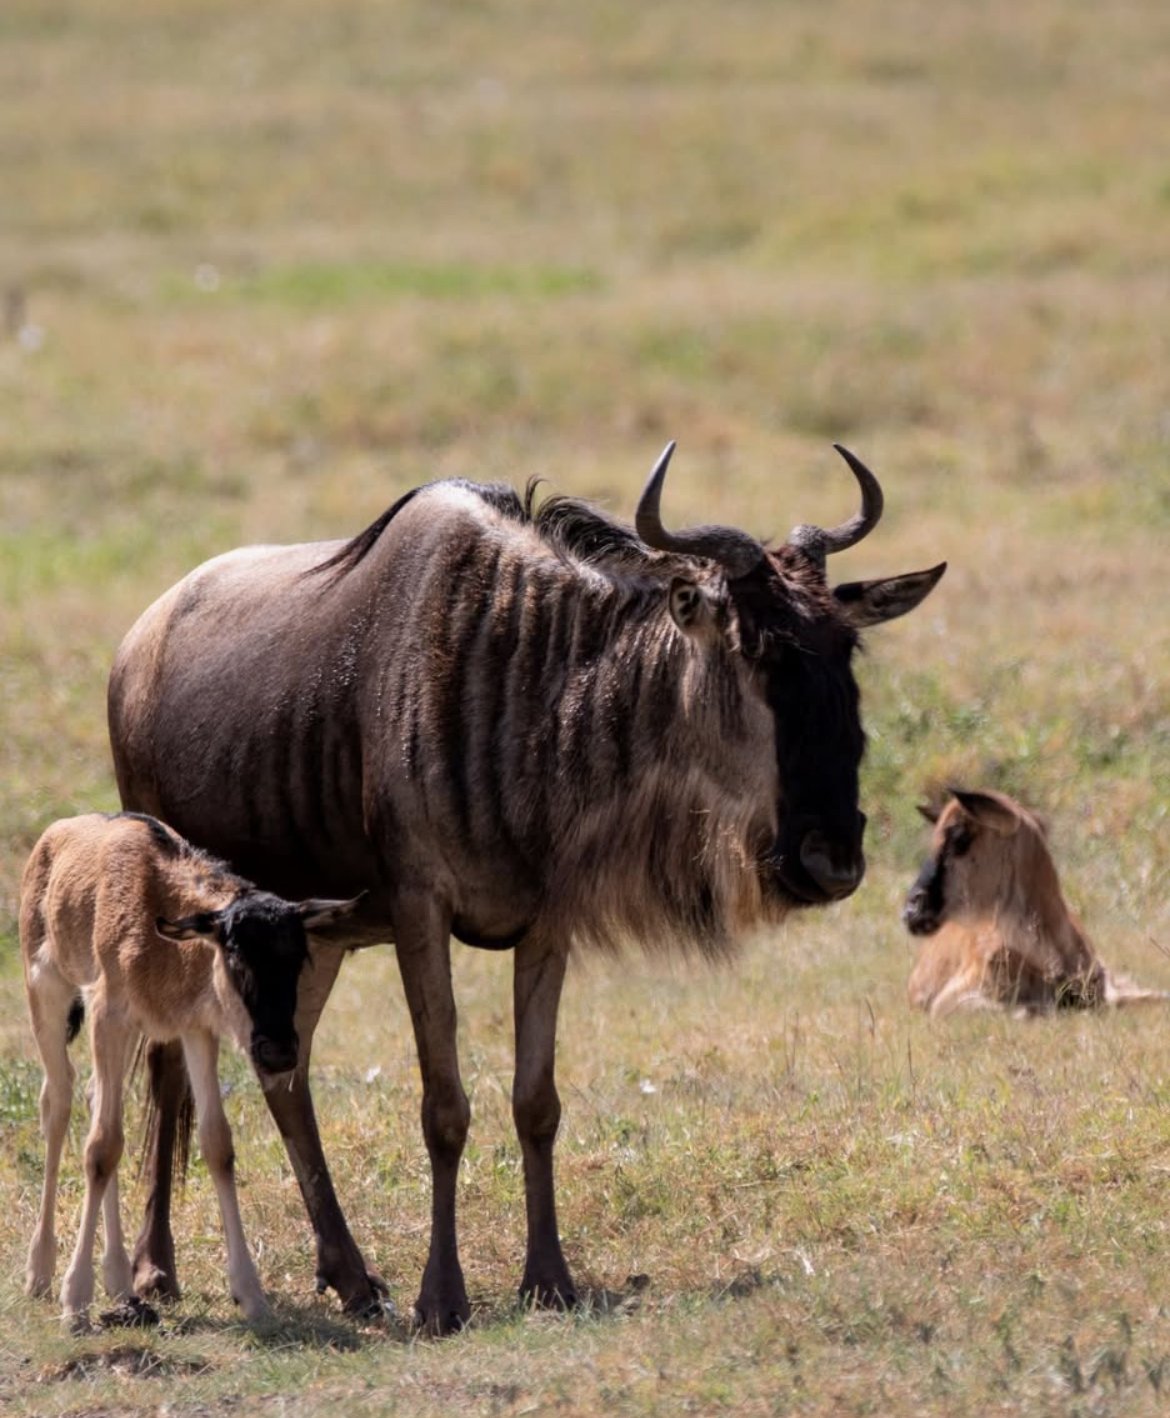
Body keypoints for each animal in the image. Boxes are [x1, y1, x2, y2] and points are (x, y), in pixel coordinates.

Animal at [20, 811, 359, 1327]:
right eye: (236, 954)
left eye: (299, 957)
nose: (279, 1053)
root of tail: (52, 837)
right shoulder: (107, 1012)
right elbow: (101, 1148)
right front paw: (74, 1299)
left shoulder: (196, 1030)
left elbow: (217, 1145)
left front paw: (251, 1294)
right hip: (47, 990)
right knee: (57, 1105)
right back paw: (40, 1271)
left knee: (96, 1098)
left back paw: (118, 1279)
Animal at [108, 441, 945, 1332]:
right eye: (754, 650)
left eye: (845, 653)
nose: (832, 860)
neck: (535, 691)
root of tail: (136, 644)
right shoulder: (419, 913)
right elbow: (443, 1106)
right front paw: (442, 1297)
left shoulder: (549, 920)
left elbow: (535, 1101)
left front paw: (549, 1279)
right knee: (169, 1069)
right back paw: (155, 1273)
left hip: (304, 937)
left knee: (284, 1075)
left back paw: (352, 1277)